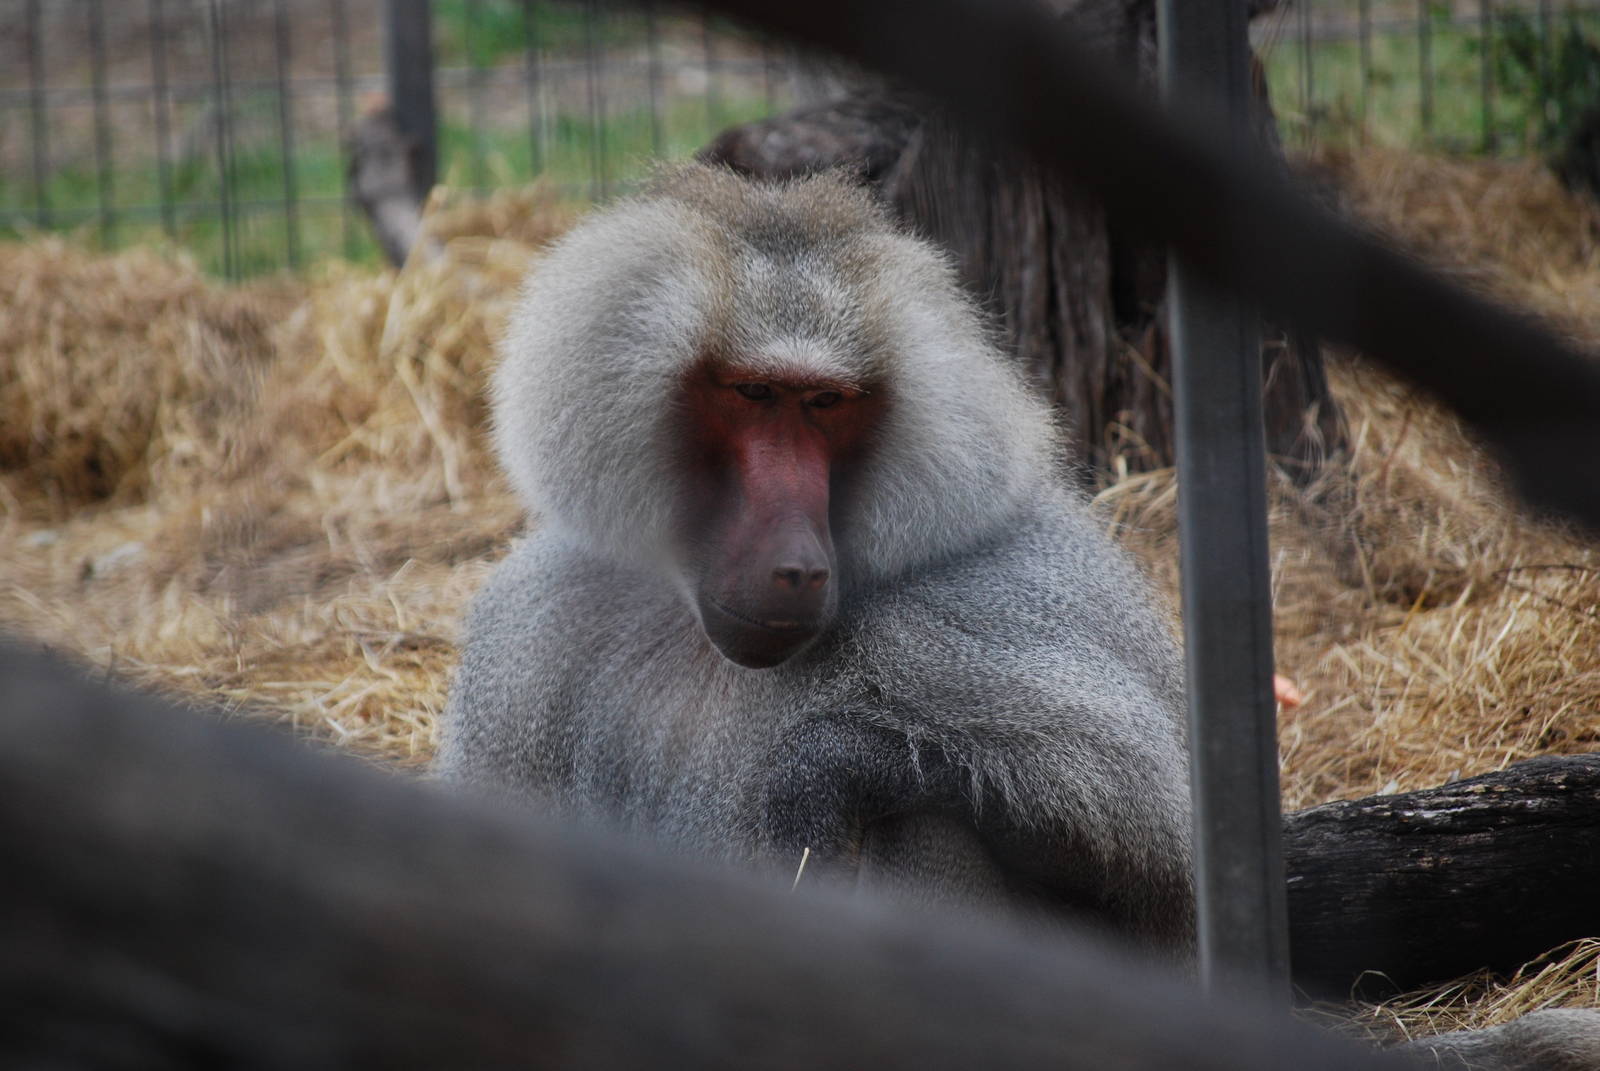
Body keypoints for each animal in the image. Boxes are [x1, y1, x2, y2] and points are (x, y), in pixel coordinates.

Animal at [434, 163, 1194, 951]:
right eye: (756, 393)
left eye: (826, 402)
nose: (797, 567)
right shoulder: (533, 634)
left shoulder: (993, 600)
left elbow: (1149, 843)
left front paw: (812, 778)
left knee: (927, 820)